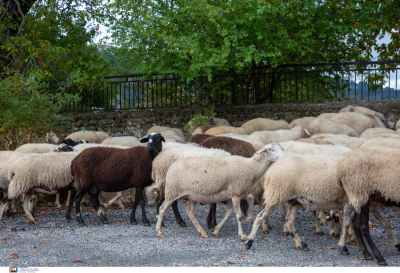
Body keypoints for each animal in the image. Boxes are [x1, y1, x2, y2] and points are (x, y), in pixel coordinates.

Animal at [156, 143, 284, 239]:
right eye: (270, 149)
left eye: (282, 148)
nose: (283, 157)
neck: (251, 168)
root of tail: (172, 166)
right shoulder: (236, 194)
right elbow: (238, 216)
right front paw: (242, 235)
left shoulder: (231, 195)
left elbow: (228, 214)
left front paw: (216, 231)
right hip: (172, 191)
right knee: (162, 209)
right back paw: (159, 231)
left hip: (192, 195)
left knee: (190, 212)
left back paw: (202, 232)